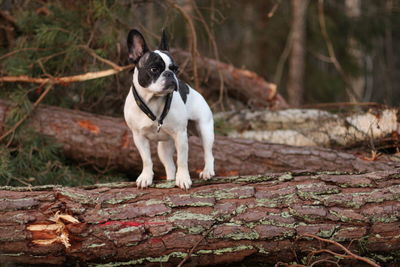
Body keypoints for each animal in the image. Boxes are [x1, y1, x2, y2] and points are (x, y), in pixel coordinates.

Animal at [124, 29, 216, 189]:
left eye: (176, 69)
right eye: (154, 69)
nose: (170, 74)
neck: (153, 100)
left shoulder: (180, 135)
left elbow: (182, 160)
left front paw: (183, 178)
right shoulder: (138, 137)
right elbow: (146, 159)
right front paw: (146, 177)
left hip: (205, 129)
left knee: (208, 152)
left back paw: (207, 171)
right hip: (164, 147)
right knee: (170, 165)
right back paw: (170, 180)